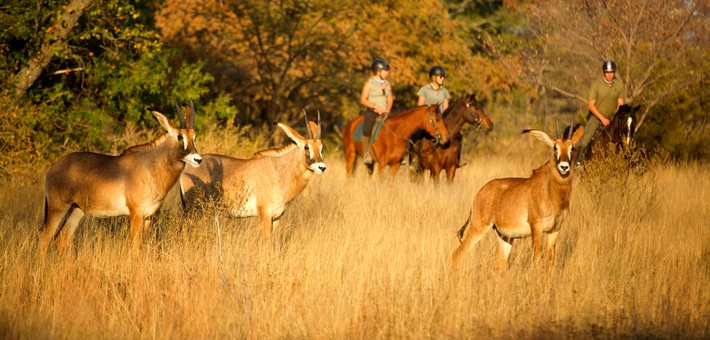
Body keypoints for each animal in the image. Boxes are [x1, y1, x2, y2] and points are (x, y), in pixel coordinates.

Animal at [38, 102, 202, 256]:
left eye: (194, 137)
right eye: (180, 136)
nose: (198, 159)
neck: (150, 165)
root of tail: (53, 168)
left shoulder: (148, 216)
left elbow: (142, 246)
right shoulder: (136, 213)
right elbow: (135, 248)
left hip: (77, 209)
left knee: (62, 238)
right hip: (58, 207)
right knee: (45, 239)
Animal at [182, 111, 330, 242]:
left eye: (321, 148)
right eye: (306, 147)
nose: (322, 167)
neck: (279, 171)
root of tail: (187, 168)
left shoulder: (277, 217)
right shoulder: (265, 214)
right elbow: (266, 242)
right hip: (193, 210)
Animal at [454, 126, 588, 272]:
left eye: (572, 147)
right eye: (555, 147)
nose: (564, 167)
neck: (551, 191)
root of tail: (480, 193)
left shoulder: (555, 230)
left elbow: (549, 263)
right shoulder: (537, 228)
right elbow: (537, 261)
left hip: (505, 236)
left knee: (499, 263)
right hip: (479, 227)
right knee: (458, 253)